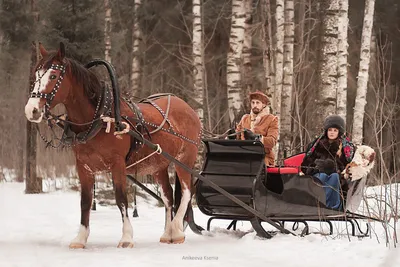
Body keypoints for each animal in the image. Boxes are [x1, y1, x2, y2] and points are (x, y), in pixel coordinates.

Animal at [23, 42, 202, 249]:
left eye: (53, 75)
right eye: (36, 74)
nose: (31, 110)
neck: (99, 119)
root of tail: (188, 108)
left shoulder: (117, 164)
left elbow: (121, 199)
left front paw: (126, 237)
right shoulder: (83, 166)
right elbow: (85, 201)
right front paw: (80, 238)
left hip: (185, 159)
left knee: (187, 192)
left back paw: (177, 229)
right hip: (158, 165)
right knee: (168, 196)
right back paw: (167, 233)